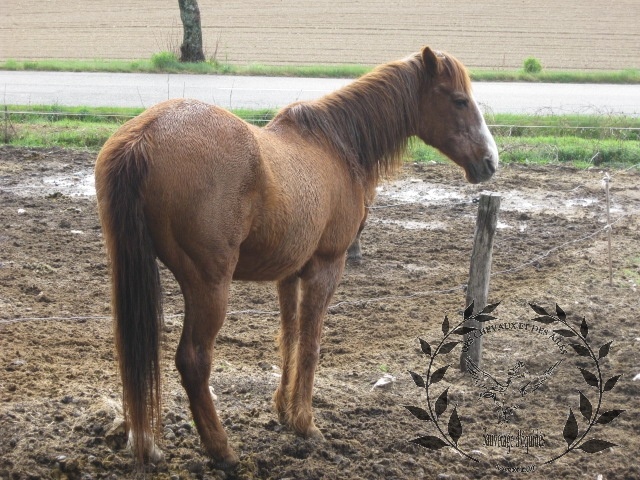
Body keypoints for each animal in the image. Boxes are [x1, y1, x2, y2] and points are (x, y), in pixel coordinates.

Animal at [95, 46, 498, 468]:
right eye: (459, 100)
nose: (490, 161)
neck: (336, 146)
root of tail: (144, 136)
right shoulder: (326, 266)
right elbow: (310, 342)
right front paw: (304, 421)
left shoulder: (288, 273)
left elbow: (288, 337)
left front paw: (284, 410)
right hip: (208, 283)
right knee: (193, 360)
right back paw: (221, 449)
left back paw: (146, 444)